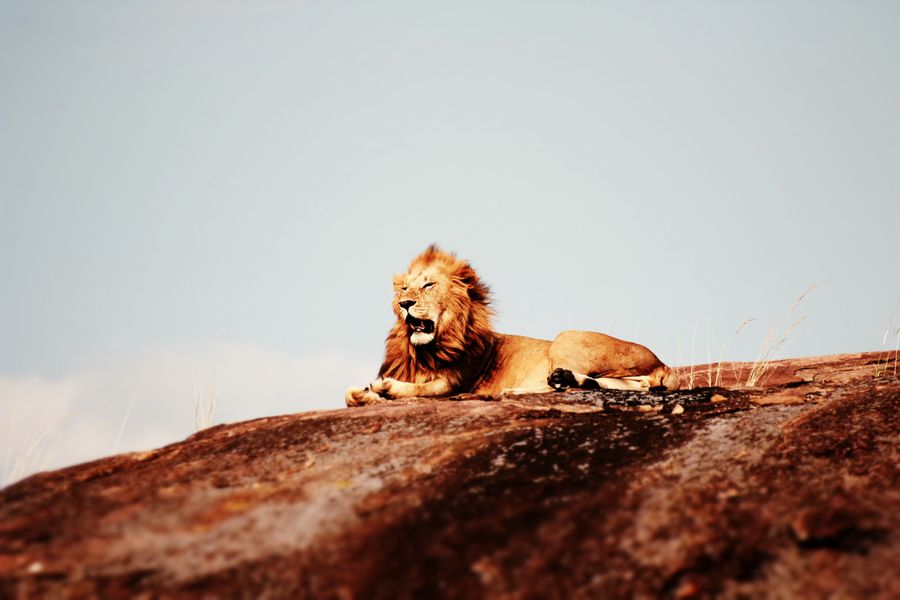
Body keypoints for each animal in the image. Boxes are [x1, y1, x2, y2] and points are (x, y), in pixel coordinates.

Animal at [346, 245, 679, 406]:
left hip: (566, 337)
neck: (425, 352)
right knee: (630, 384)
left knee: (637, 383)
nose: (405, 304)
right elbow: (350, 395)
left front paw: (385, 387)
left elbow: (421, 389)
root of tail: (663, 363)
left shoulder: (454, 383)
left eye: (428, 285)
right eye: (404, 289)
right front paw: (365, 394)